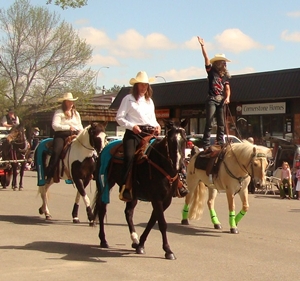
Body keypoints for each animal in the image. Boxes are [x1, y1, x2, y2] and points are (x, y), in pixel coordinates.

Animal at [94, 119, 188, 260]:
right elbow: (162, 223)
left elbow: (152, 221)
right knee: (102, 209)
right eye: (170, 140)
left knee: (128, 213)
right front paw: (168, 250)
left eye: (185, 139)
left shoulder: (166, 200)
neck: (160, 163)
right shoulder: (156, 198)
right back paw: (103, 240)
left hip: (132, 193)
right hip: (105, 184)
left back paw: (135, 240)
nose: (179, 166)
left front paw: (141, 245)